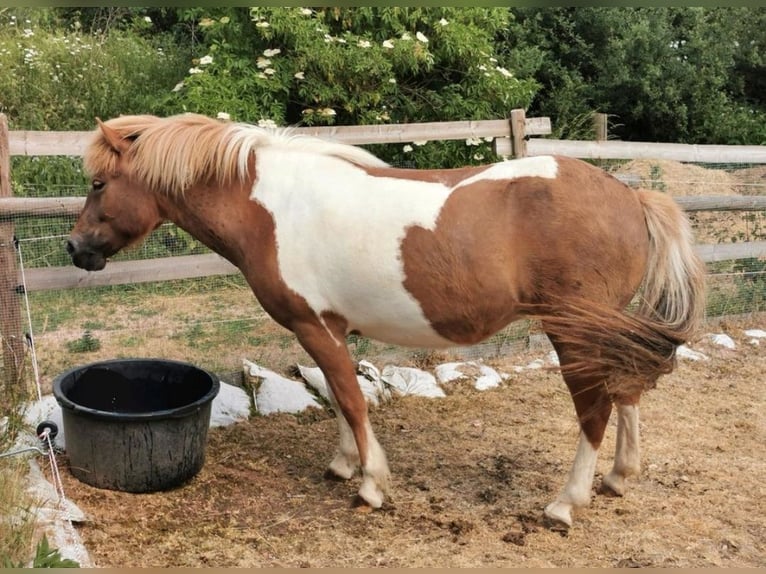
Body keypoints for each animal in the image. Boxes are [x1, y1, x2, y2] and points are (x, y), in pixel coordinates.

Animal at [69, 113, 704, 532]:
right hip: (605, 328)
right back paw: (619, 476)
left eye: (99, 183)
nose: (76, 248)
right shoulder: (332, 328)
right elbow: (337, 394)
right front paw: (344, 463)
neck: (272, 208)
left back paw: (566, 503)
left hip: (572, 332)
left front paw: (372, 484)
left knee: (594, 408)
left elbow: (351, 400)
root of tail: (630, 197)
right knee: (626, 392)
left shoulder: (314, 325)